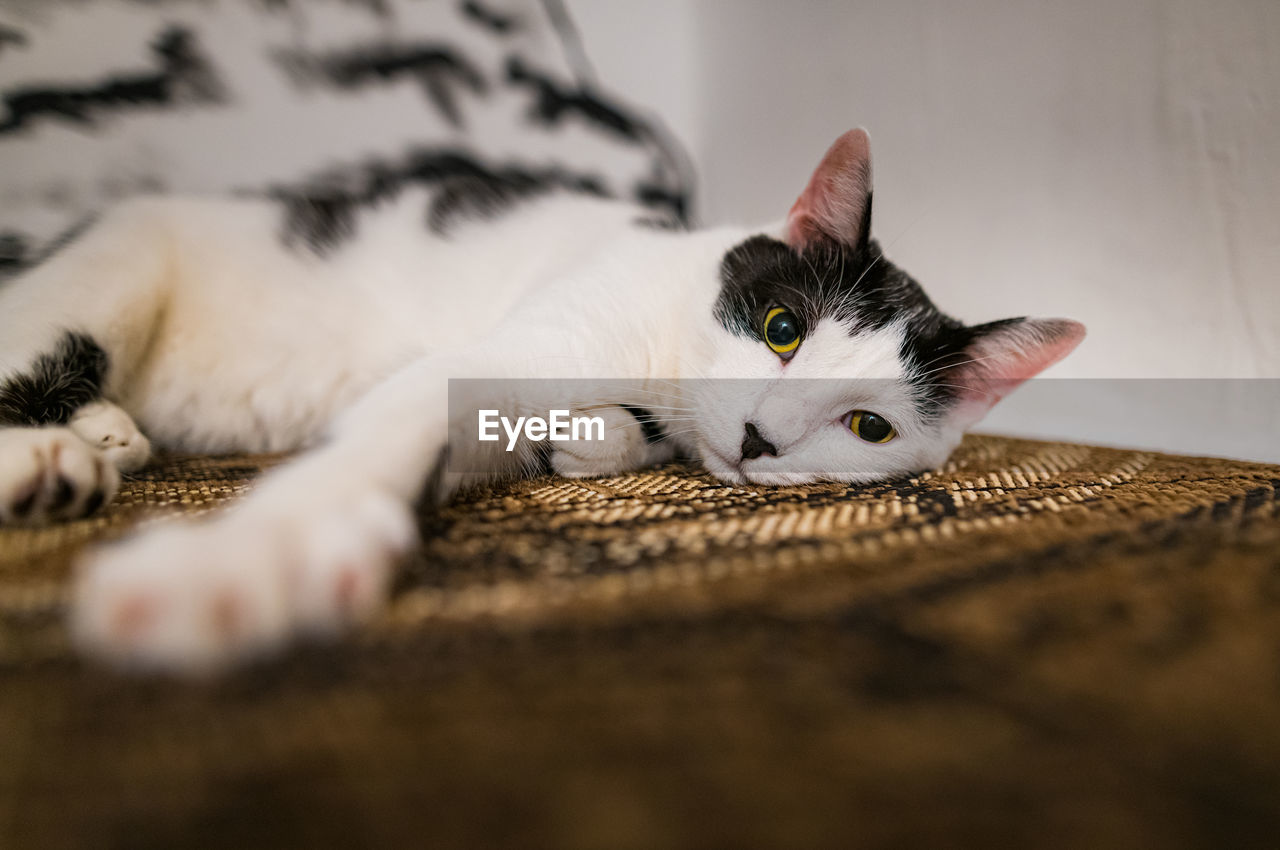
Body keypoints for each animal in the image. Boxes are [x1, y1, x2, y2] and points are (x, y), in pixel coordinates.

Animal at [0, 131, 1085, 670]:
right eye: (782, 328)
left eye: (868, 426)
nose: (757, 437)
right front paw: (258, 554)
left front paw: (586, 442)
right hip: (111, 272)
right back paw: (46, 462)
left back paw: (104, 433)